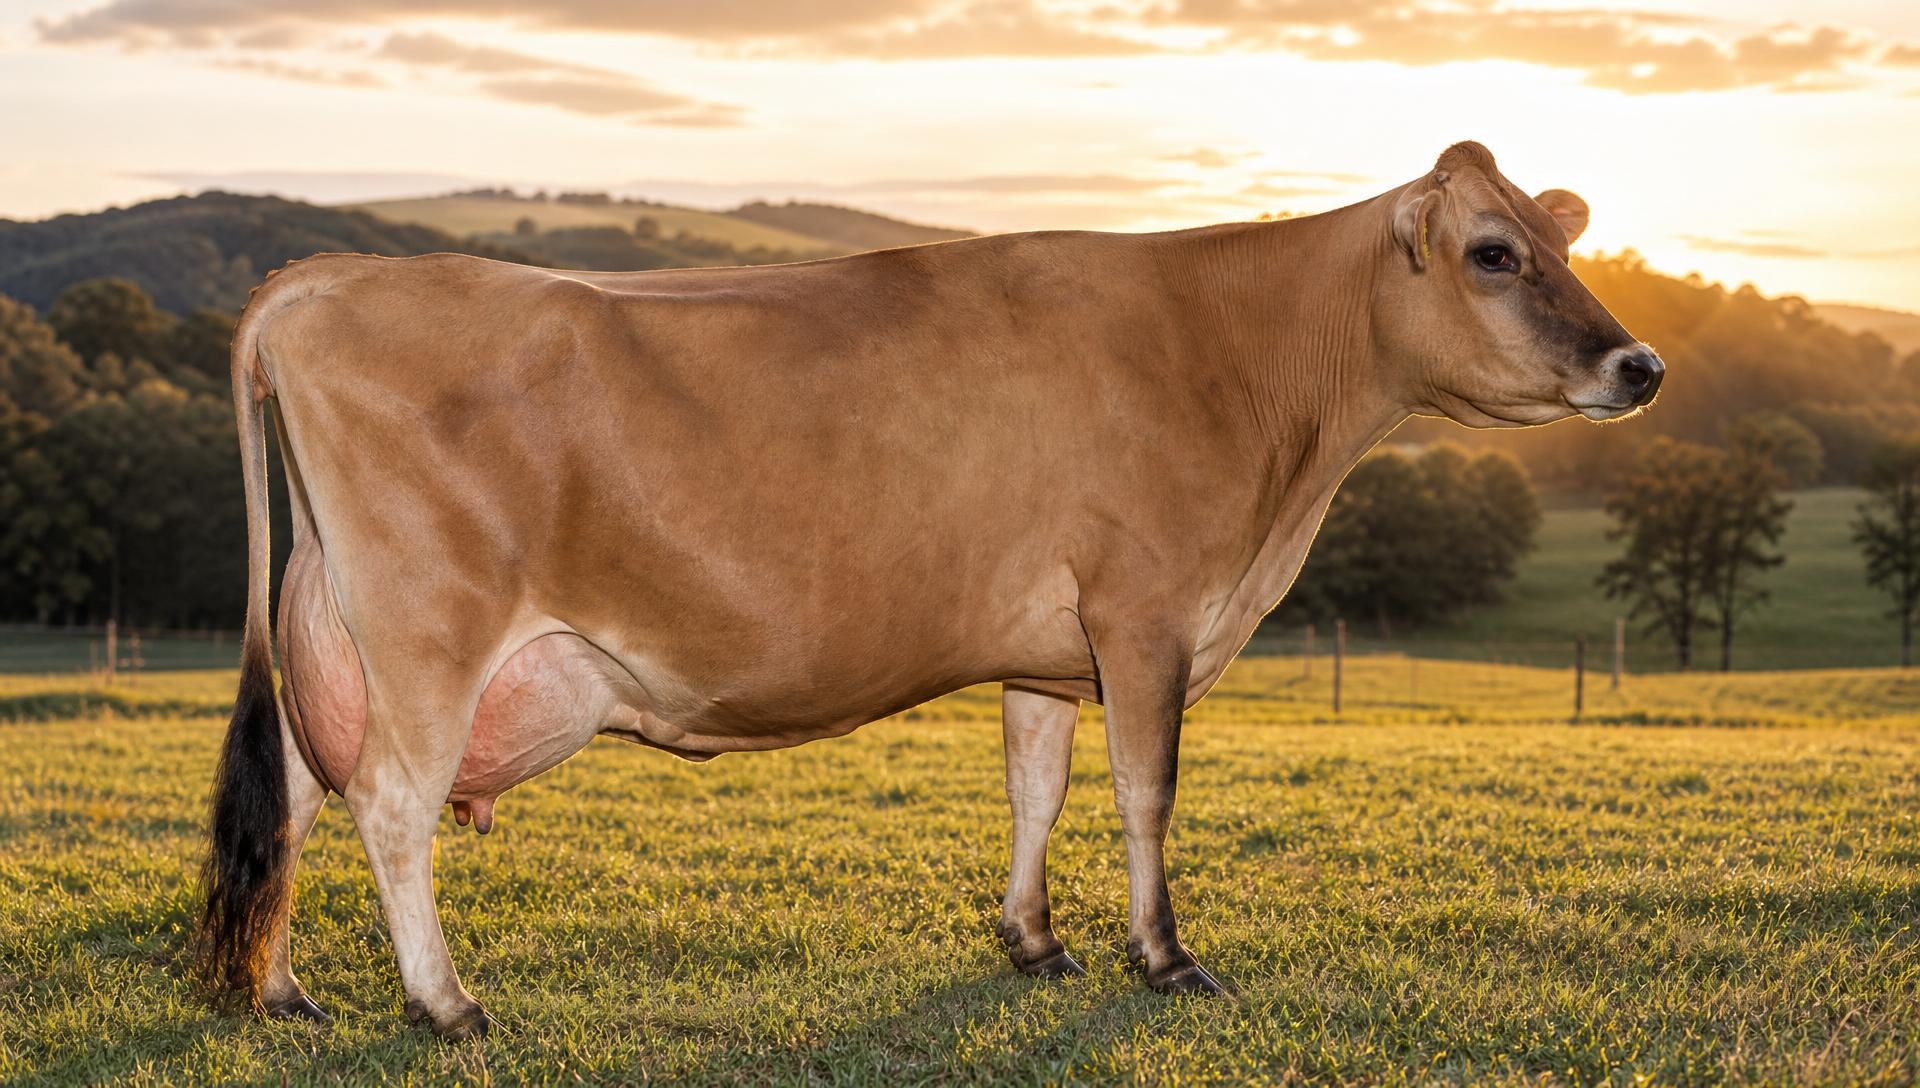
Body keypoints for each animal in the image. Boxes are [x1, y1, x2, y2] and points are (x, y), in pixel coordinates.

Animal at [197, 141, 1662, 1039]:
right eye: (1493, 251)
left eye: (1559, 236)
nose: (1640, 363)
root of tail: (326, 276)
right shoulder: (1145, 613)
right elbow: (1145, 794)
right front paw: (1166, 957)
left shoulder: (1050, 646)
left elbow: (1036, 788)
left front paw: (1033, 939)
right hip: (430, 629)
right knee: (392, 804)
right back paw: (445, 1004)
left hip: (339, 633)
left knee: (305, 792)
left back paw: (283, 990)